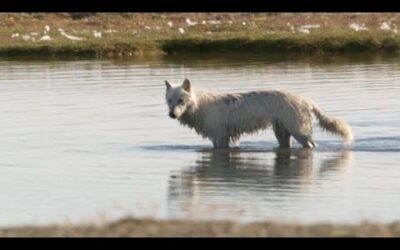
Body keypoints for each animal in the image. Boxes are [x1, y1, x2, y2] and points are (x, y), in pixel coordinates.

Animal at [164, 78, 352, 148]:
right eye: (169, 101)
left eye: (181, 100)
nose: (172, 115)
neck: (198, 105)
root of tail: (306, 100)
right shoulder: (224, 138)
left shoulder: (221, 138)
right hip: (282, 134)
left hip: (300, 133)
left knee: (312, 146)